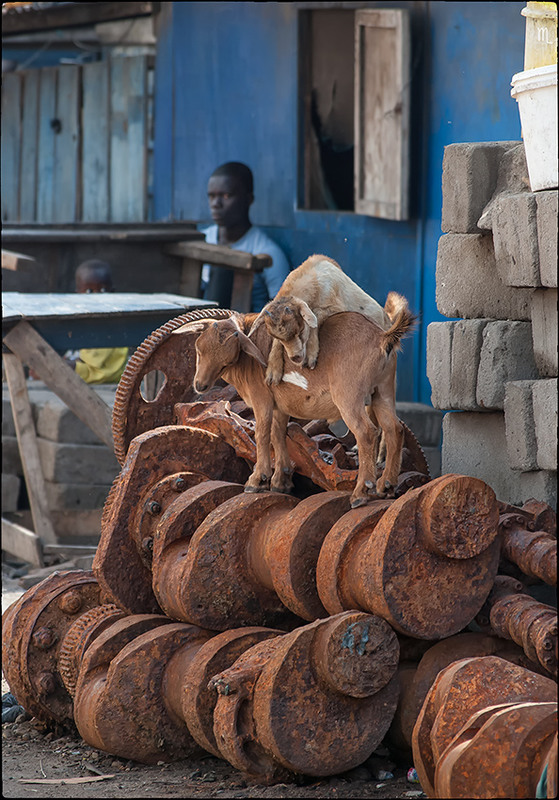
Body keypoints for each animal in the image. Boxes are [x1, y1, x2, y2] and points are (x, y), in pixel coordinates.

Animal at [192, 304, 416, 506]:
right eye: (199, 349)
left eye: (227, 361)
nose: (200, 385)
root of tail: (382, 338)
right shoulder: (280, 406)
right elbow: (278, 433)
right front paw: (280, 482)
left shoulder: (261, 398)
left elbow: (262, 434)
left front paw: (256, 481)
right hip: (383, 391)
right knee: (394, 428)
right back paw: (386, 485)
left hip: (349, 395)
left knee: (366, 432)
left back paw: (360, 493)